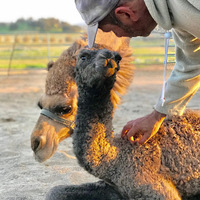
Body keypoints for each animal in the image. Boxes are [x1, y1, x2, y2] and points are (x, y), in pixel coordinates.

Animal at [46, 48, 200, 200]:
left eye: (118, 58)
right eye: (83, 56)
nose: (108, 56)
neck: (115, 159)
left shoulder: (154, 187)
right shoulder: (113, 187)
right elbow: (54, 191)